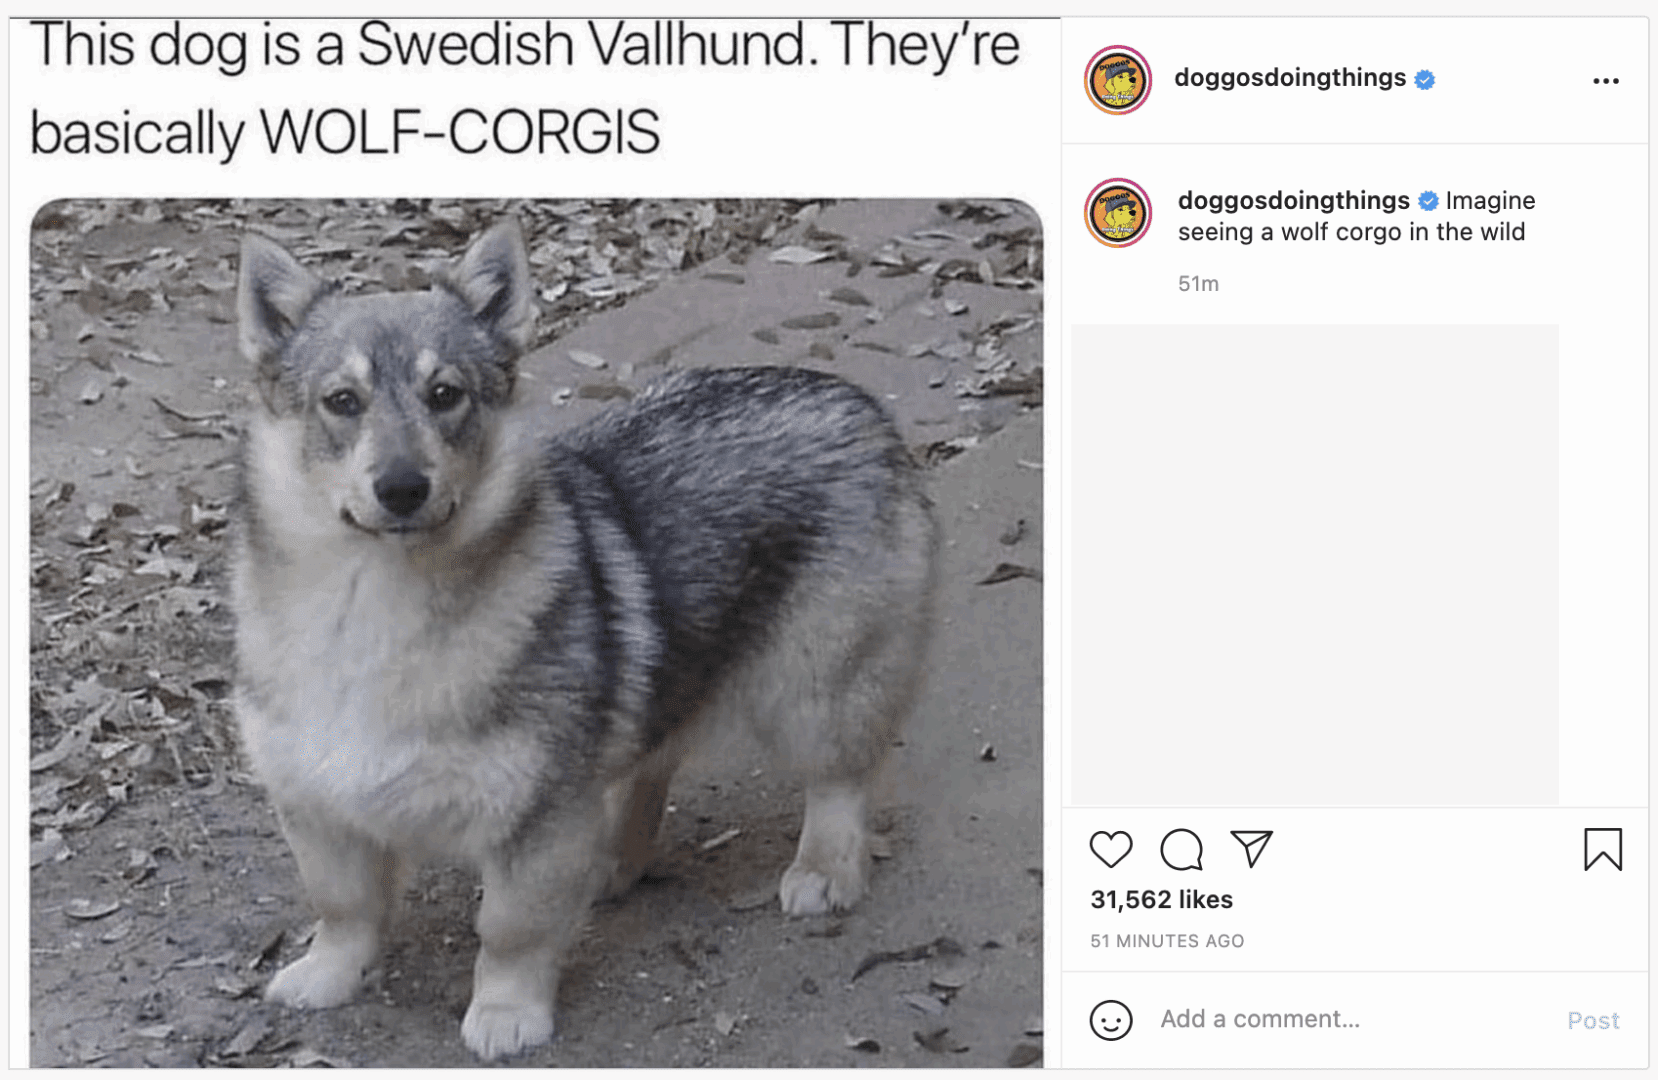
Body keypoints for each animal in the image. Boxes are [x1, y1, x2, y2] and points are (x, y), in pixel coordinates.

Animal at [231, 219, 939, 1060]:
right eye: (342, 402)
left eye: (445, 395)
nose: (402, 488)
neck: (374, 599)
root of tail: (854, 399)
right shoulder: (316, 804)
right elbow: (343, 907)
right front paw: (331, 973)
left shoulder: (534, 815)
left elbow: (510, 928)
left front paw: (507, 1011)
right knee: (648, 767)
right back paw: (612, 860)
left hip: (815, 690)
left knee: (837, 781)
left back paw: (825, 868)